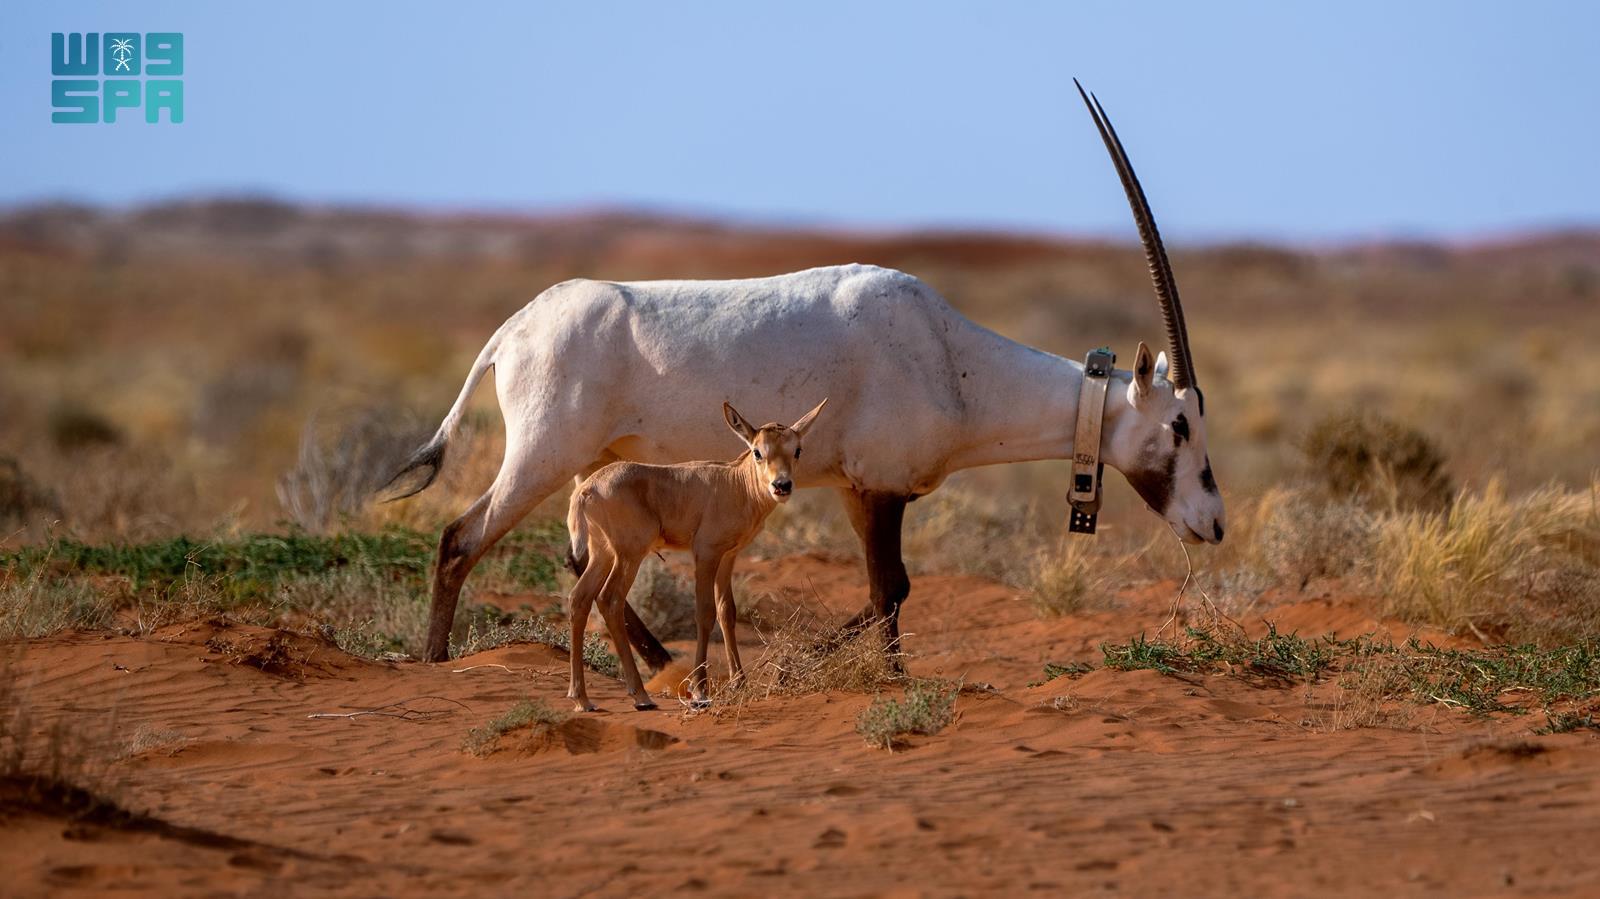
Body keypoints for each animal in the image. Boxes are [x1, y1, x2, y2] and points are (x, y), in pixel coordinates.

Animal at [566, 396, 825, 707]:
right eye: (757, 451)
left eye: (797, 449)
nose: (782, 486)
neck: (733, 483)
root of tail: (587, 489)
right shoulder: (705, 554)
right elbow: (704, 612)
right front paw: (700, 690)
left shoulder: (728, 556)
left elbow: (727, 611)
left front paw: (740, 682)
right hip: (629, 555)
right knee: (610, 599)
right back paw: (640, 695)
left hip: (602, 553)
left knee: (579, 598)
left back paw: (582, 698)